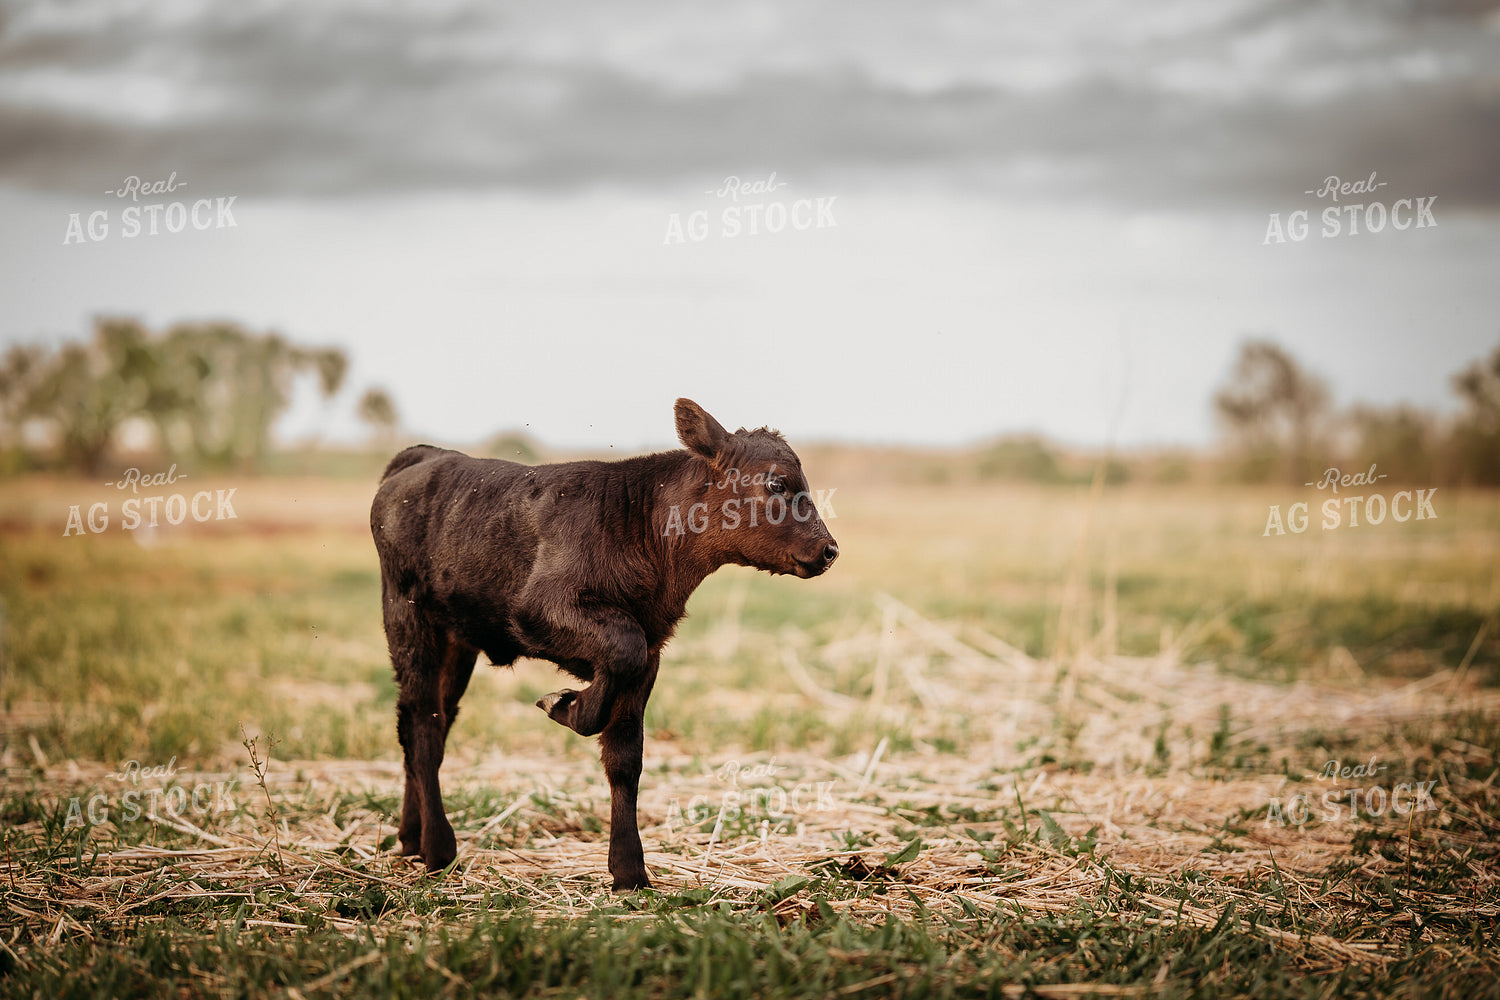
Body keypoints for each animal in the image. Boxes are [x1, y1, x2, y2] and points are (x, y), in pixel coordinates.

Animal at [370, 398, 839, 890]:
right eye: (777, 483)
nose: (829, 550)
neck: (643, 529)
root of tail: (425, 456)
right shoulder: (542, 611)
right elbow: (619, 655)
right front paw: (567, 705)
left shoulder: (651, 652)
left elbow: (625, 758)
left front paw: (629, 870)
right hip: (409, 621)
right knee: (423, 726)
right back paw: (438, 848)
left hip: (457, 642)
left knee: (429, 723)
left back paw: (411, 837)